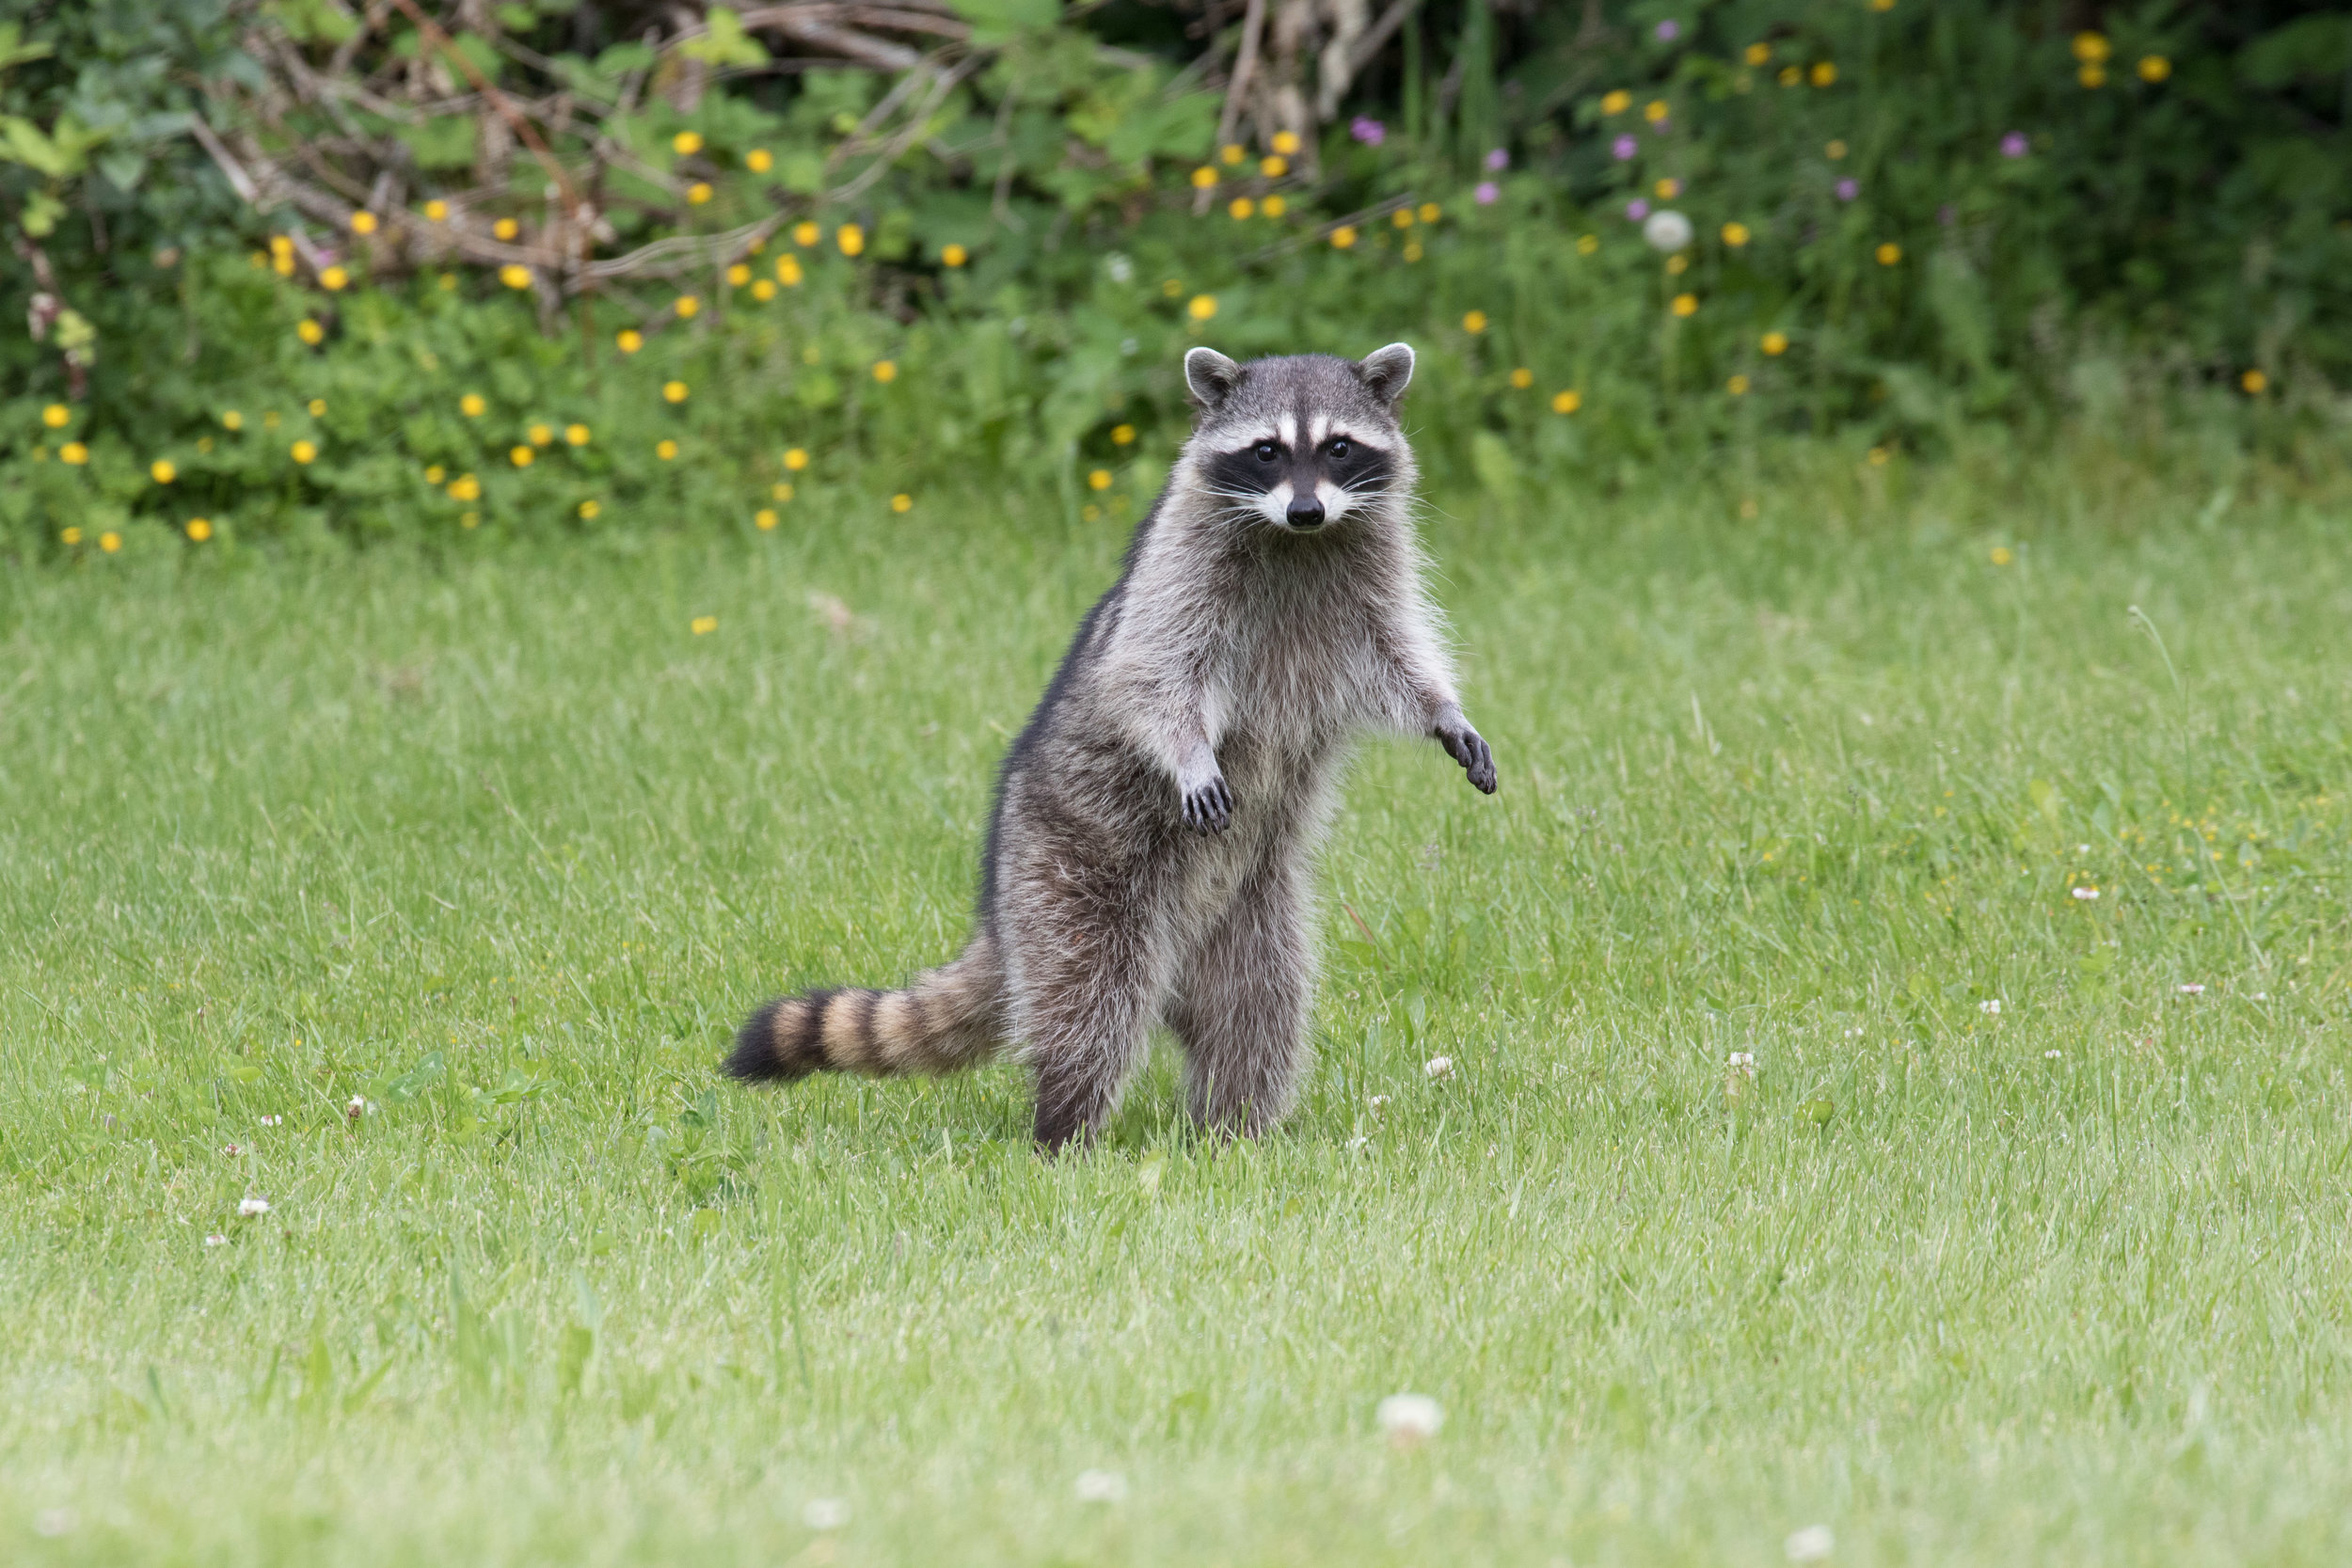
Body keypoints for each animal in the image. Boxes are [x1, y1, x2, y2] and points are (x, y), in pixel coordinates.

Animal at [724, 345, 1496, 1151]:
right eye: (1267, 450)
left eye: (1339, 446)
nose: (1307, 508)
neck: (1297, 540)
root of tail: (1001, 912)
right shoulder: (1179, 564)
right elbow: (1150, 672)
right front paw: (1189, 750)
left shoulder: (1370, 568)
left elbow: (1397, 656)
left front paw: (1444, 710)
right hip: (1071, 874)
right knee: (1089, 1002)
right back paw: (1064, 1129)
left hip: (1250, 913)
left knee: (1259, 1009)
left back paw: (1236, 1128)